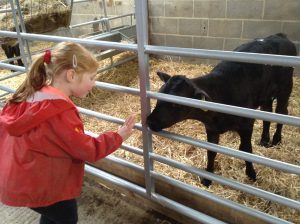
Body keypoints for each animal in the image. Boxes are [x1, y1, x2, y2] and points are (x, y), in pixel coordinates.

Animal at [146, 33, 296, 186]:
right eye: (158, 96)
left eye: (176, 104)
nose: (150, 121)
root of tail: (279, 36)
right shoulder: (211, 128)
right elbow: (211, 151)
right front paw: (207, 177)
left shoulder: (247, 124)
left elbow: (246, 149)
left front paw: (251, 174)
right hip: (266, 96)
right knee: (267, 113)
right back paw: (265, 140)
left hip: (285, 88)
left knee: (282, 112)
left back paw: (276, 139)